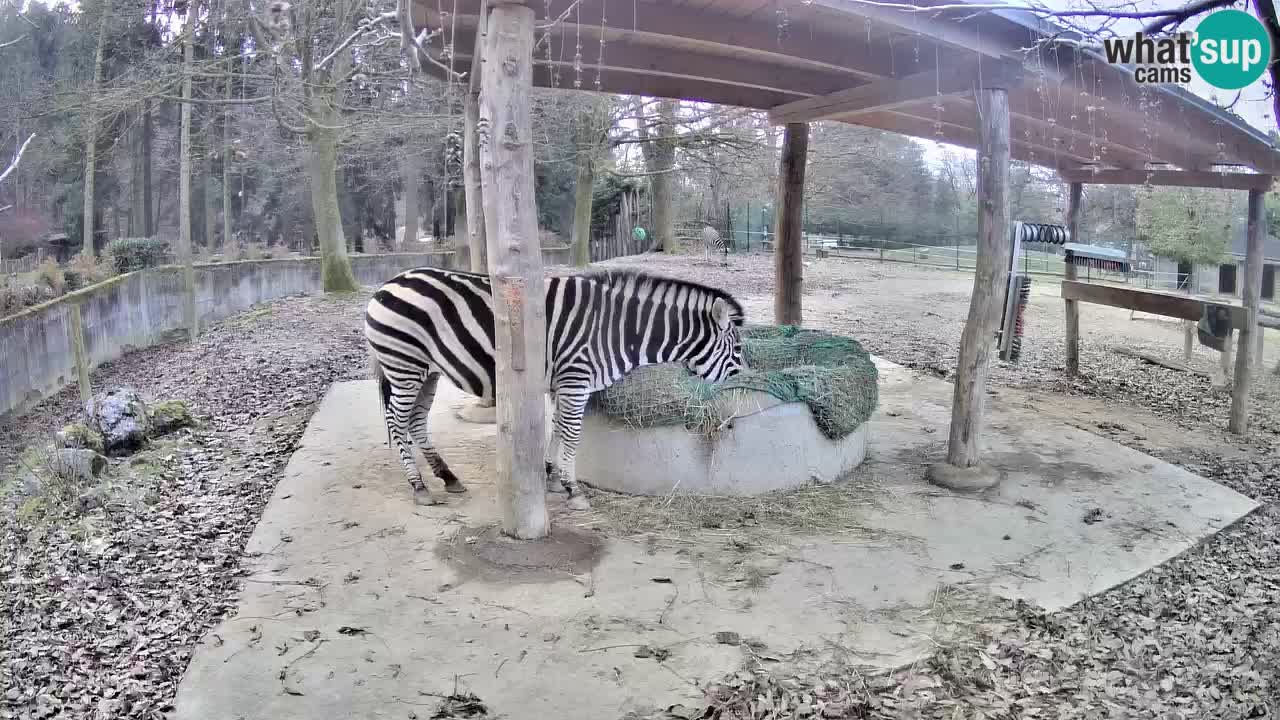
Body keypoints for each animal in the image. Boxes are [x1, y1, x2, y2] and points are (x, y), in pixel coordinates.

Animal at [360, 266, 747, 507]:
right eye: (739, 349)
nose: (744, 384)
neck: (618, 329)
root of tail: (386, 284)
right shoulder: (576, 378)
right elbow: (572, 434)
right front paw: (573, 490)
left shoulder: (566, 382)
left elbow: (559, 428)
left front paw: (551, 477)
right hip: (404, 365)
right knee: (397, 422)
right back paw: (419, 487)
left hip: (427, 371)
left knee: (415, 422)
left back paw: (448, 477)